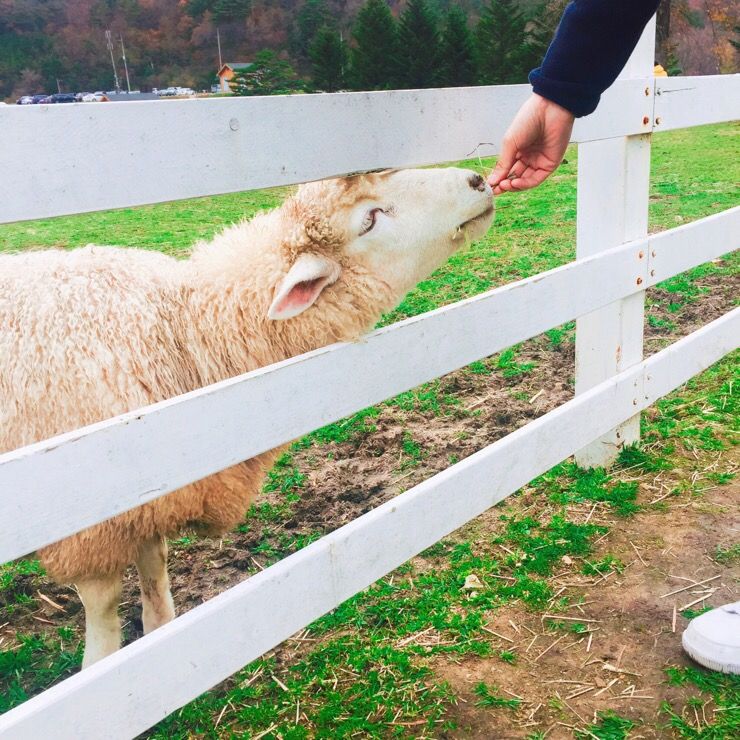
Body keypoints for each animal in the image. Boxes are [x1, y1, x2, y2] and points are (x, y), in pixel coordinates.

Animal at [1, 171, 498, 668]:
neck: (181, 335)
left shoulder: (147, 502)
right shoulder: (89, 529)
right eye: (370, 219)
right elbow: (104, 609)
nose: (477, 179)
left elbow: (155, 570)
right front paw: (106, 667)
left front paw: (160, 639)